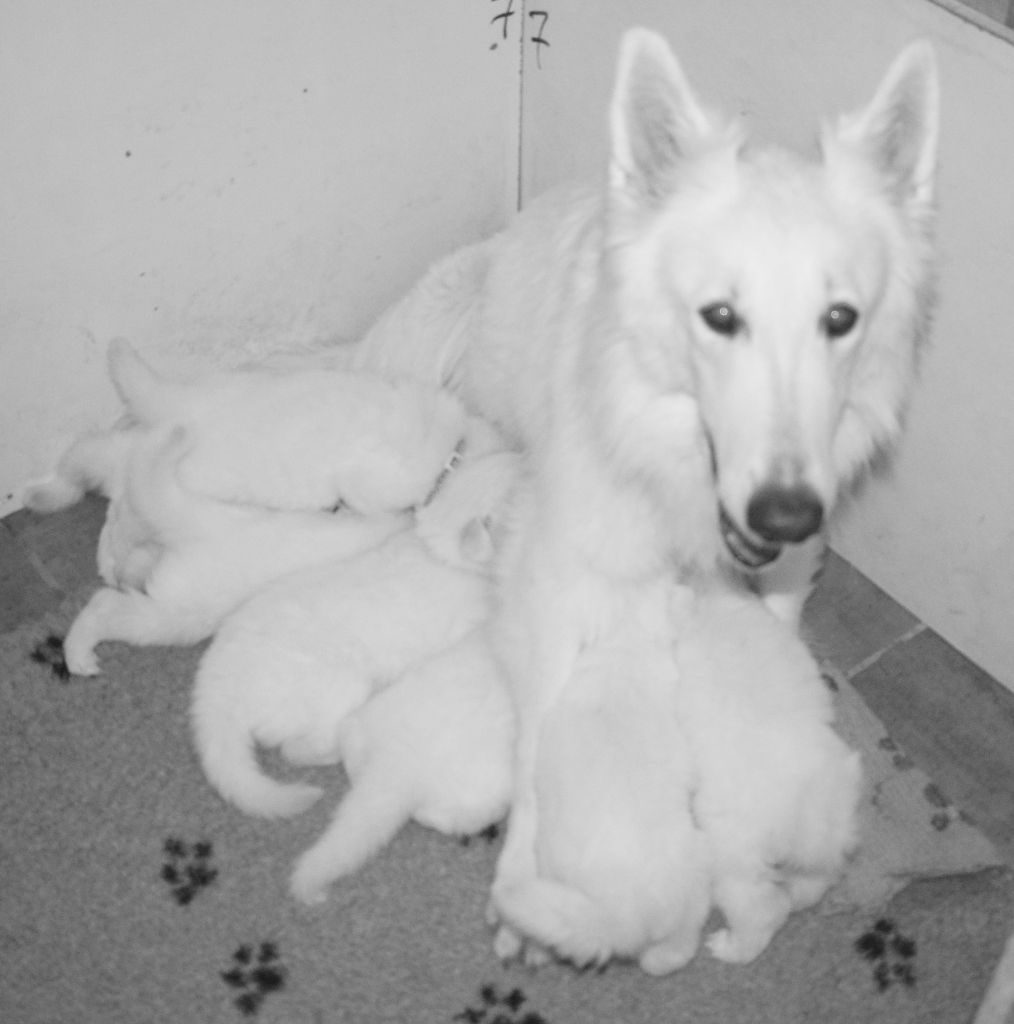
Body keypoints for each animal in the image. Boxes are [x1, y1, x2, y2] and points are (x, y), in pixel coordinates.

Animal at [676, 589, 864, 962]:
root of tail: (806, 828)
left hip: (734, 868)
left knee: (761, 915)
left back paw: (727, 948)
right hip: (821, 857)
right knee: (810, 888)